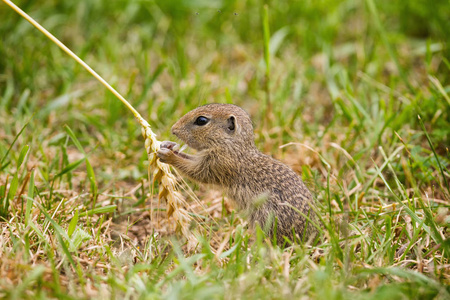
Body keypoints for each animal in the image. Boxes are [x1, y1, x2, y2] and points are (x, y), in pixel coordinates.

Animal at [156, 104, 318, 245]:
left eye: (201, 120)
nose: (173, 129)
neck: (233, 146)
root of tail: (312, 238)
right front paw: (167, 145)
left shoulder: (219, 165)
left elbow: (195, 171)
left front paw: (168, 155)